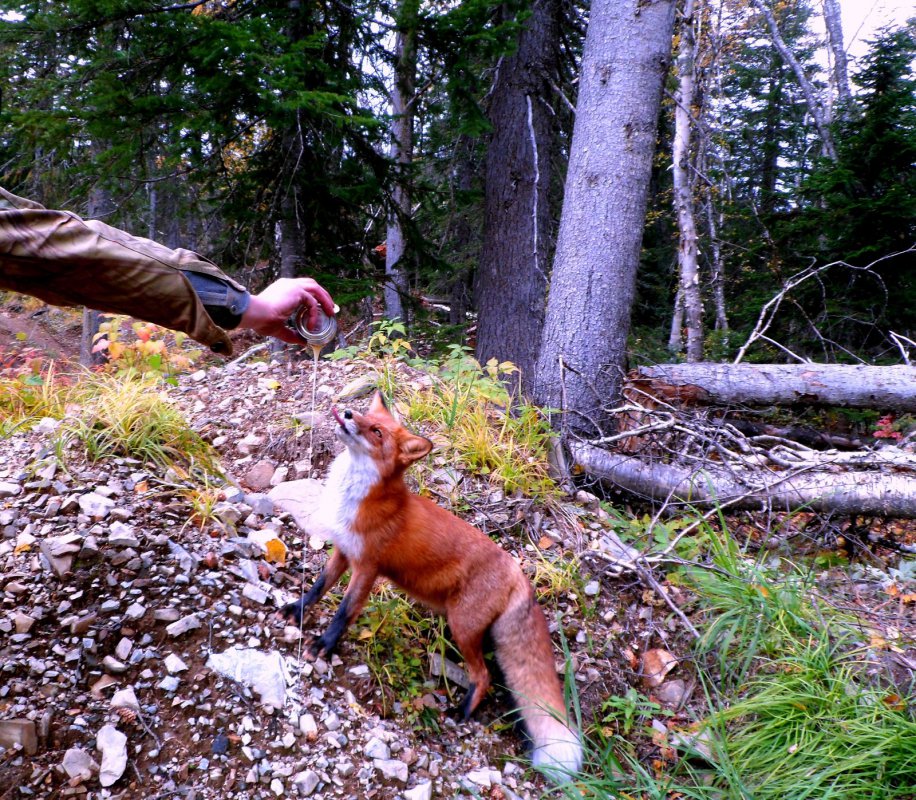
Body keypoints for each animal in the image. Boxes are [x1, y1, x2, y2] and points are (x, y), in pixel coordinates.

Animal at [280, 390, 580, 780]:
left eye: (376, 432)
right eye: (362, 414)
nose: (345, 412)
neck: (357, 499)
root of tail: (519, 573)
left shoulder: (367, 568)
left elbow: (344, 612)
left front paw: (324, 646)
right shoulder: (344, 551)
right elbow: (318, 587)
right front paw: (297, 610)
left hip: (462, 625)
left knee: (483, 676)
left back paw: (462, 712)